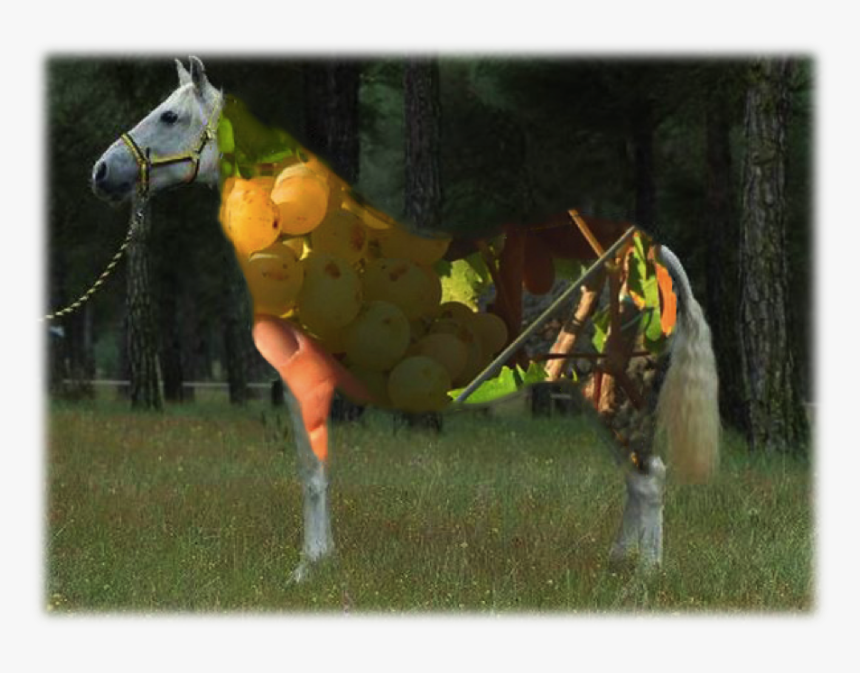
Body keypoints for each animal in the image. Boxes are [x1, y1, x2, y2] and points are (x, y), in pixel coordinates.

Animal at [91, 56, 720, 583]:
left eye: (169, 115)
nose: (101, 172)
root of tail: (650, 250)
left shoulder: (301, 380)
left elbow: (311, 472)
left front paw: (306, 570)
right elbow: (318, 468)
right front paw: (321, 561)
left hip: (614, 387)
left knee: (650, 475)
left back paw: (643, 579)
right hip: (596, 389)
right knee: (635, 476)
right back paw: (618, 562)